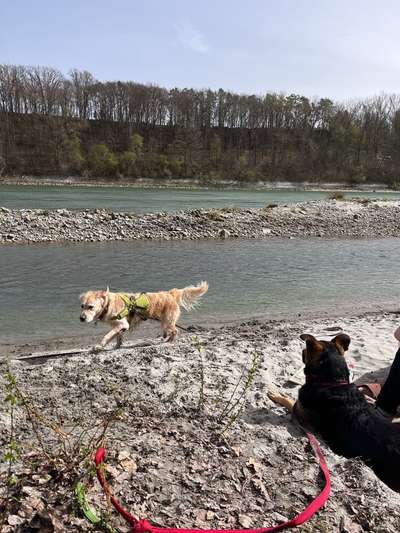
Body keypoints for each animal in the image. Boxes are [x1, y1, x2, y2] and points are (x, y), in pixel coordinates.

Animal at [268, 332, 400, 490]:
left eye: (307, 349)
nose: (303, 350)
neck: (333, 382)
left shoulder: (300, 414)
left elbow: (289, 401)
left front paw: (277, 395)